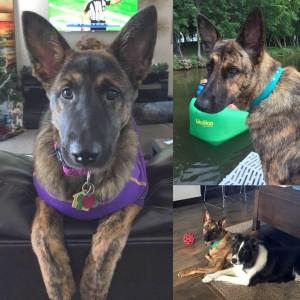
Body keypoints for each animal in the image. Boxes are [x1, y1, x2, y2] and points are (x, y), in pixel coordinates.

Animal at [22, 7, 157, 300]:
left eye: (112, 94)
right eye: (66, 93)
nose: (84, 155)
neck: (84, 179)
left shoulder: (135, 199)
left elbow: (107, 238)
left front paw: (92, 285)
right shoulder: (44, 200)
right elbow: (42, 236)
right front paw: (60, 284)